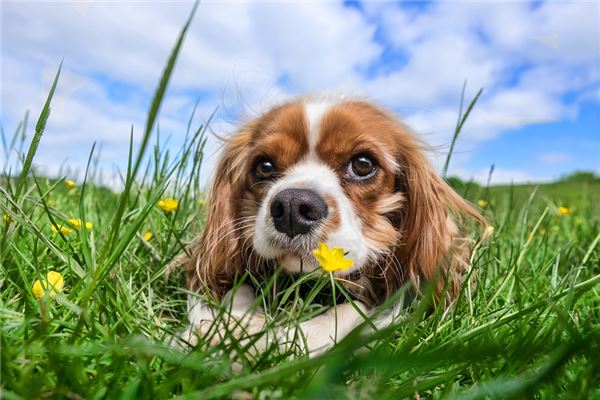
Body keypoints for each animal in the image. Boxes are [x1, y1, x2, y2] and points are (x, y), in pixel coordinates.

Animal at [176, 97, 486, 356]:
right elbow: (234, 290)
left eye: (363, 164)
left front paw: (275, 340)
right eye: (264, 166)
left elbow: (351, 310)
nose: (292, 206)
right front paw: (225, 327)